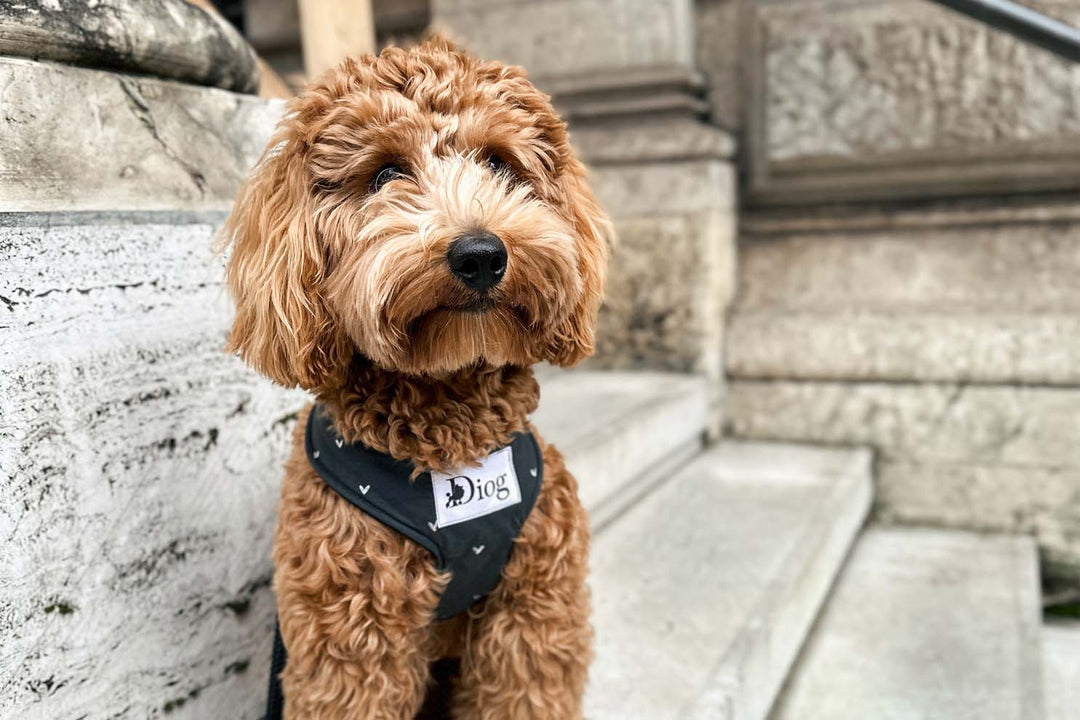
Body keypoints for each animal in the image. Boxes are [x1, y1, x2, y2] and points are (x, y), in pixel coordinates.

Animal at [221, 38, 609, 720]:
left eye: (500, 163)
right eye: (384, 175)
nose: (480, 255)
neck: (450, 438)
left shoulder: (534, 611)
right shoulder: (352, 631)